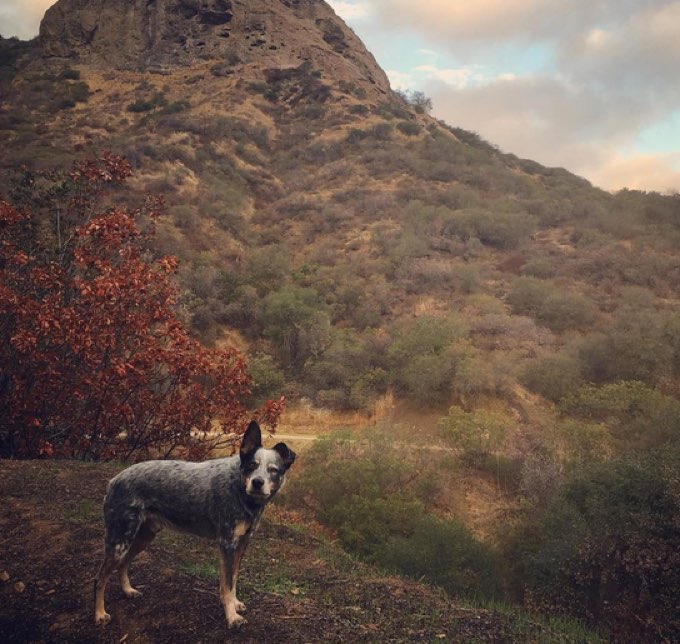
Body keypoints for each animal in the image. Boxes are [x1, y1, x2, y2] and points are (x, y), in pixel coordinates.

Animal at [94, 422, 296, 628]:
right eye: (251, 465)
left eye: (273, 470)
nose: (257, 482)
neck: (239, 489)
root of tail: (114, 480)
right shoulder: (227, 544)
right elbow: (227, 584)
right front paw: (232, 616)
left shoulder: (241, 544)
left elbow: (233, 579)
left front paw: (235, 604)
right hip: (120, 541)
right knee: (99, 579)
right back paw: (100, 614)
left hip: (143, 537)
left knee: (123, 564)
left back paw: (128, 590)